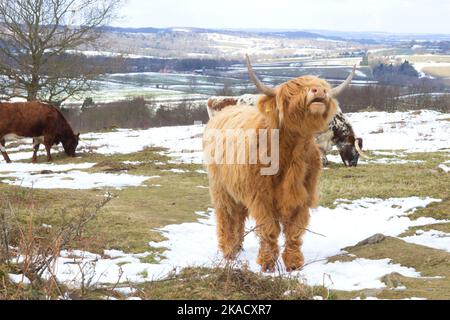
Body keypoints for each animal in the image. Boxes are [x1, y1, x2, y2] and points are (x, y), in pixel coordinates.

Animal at [204, 55, 356, 272]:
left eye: (321, 86)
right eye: (294, 90)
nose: (318, 91)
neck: (289, 153)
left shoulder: (301, 195)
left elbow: (294, 230)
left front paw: (294, 263)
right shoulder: (261, 197)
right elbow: (269, 229)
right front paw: (267, 263)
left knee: (239, 216)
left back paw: (238, 246)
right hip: (221, 188)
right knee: (226, 216)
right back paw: (229, 251)